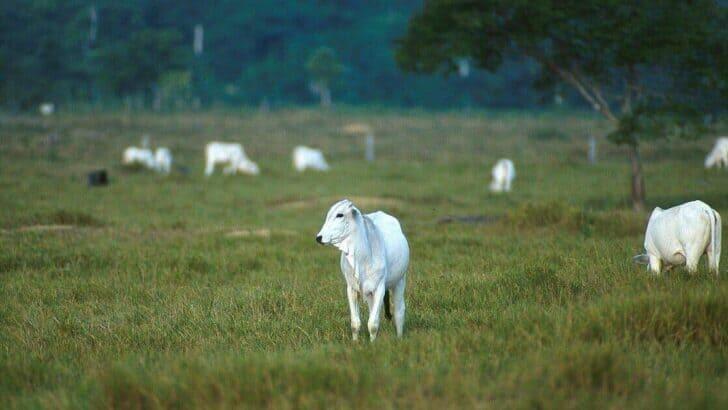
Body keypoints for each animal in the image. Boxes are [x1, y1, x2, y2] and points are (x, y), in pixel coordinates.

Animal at [316, 199, 410, 341]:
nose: (319, 237)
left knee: (399, 311)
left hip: (399, 281)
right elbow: (356, 323)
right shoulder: (351, 288)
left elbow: (373, 324)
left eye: (340, 215)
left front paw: (372, 344)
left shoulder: (380, 287)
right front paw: (356, 342)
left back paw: (399, 338)